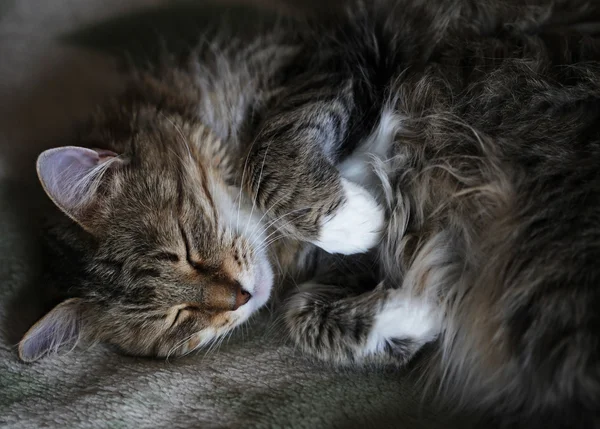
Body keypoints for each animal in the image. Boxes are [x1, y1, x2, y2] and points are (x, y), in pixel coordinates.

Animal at [18, 0, 600, 426]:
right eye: (179, 319)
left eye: (186, 248)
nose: (240, 297)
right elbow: (305, 317)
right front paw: (420, 306)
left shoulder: (337, 55)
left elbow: (273, 152)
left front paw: (356, 219)